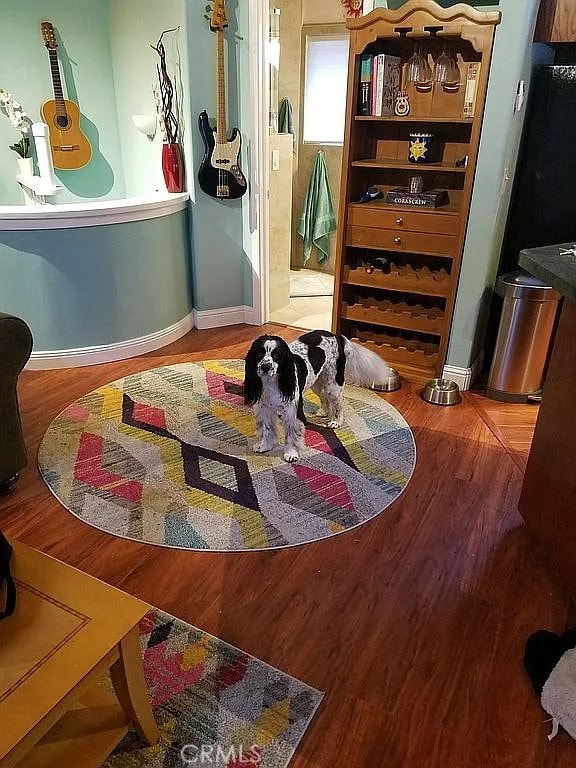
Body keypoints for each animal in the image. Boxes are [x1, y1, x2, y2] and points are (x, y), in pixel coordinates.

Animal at [244, 330, 392, 462]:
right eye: (259, 354)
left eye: (277, 355)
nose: (265, 367)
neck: (272, 382)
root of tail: (337, 336)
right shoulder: (263, 409)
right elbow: (266, 429)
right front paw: (264, 446)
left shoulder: (293, 411)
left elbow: (291, 433)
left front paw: (291, 453)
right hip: (317, 382)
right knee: (324, 397)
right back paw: (323, 411)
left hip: (333, 385)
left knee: (338, 404)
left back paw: (336, 421)